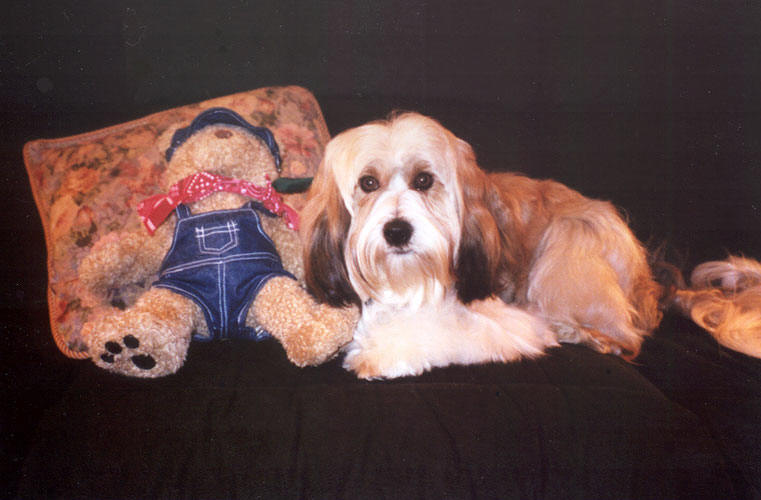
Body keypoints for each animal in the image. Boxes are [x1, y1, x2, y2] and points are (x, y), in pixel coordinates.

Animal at [300, 112, 756, 378]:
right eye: (368, 183)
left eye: (424, 180)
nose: (397, 231)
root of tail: (651, 280)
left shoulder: (502, 320)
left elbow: (438, 329)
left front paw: (379, 349)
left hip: (564, 246)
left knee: (625, 337)